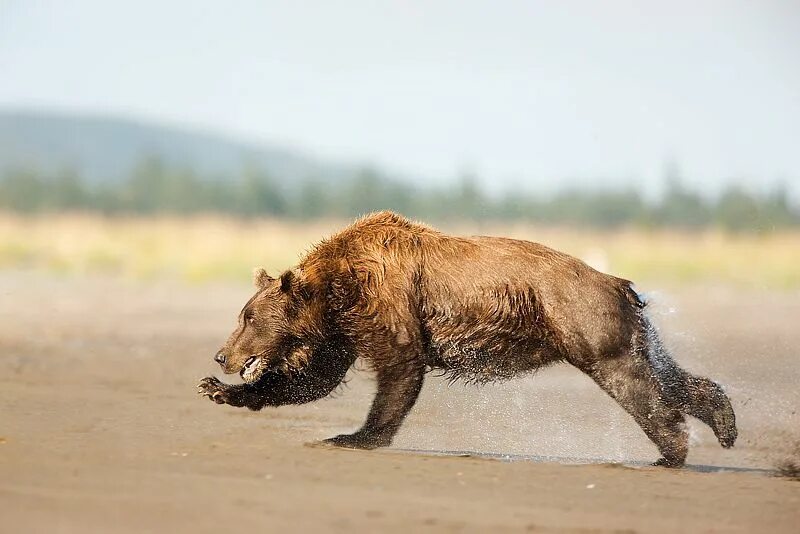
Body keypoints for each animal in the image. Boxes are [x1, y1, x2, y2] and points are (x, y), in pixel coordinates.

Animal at [198, 211, 736, 466]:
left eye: (247, 318)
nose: (222, 355)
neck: (335, 289)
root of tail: (618, 282)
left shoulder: (386, 300)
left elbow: (399, 367)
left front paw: (354, 435)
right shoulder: (344, 327)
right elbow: (317, 376)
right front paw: (221, 391)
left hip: (586, 324)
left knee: (635, 384)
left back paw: (670, 450)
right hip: (621, 328)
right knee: (665, 375)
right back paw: (724, 421)